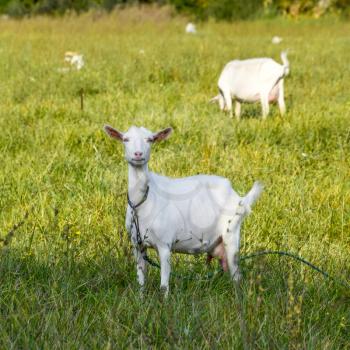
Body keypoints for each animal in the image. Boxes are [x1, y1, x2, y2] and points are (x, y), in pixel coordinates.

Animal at [104, 126, 262, 296]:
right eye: (125, 139)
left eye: (150, 139)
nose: (138, 154)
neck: (143, 202)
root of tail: (240, 198)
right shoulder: (137, 244)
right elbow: (141, 280)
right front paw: (140, 299)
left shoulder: (165, 243)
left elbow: (164, 285)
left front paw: (164, 301)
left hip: (231, 231)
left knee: (236, 275)